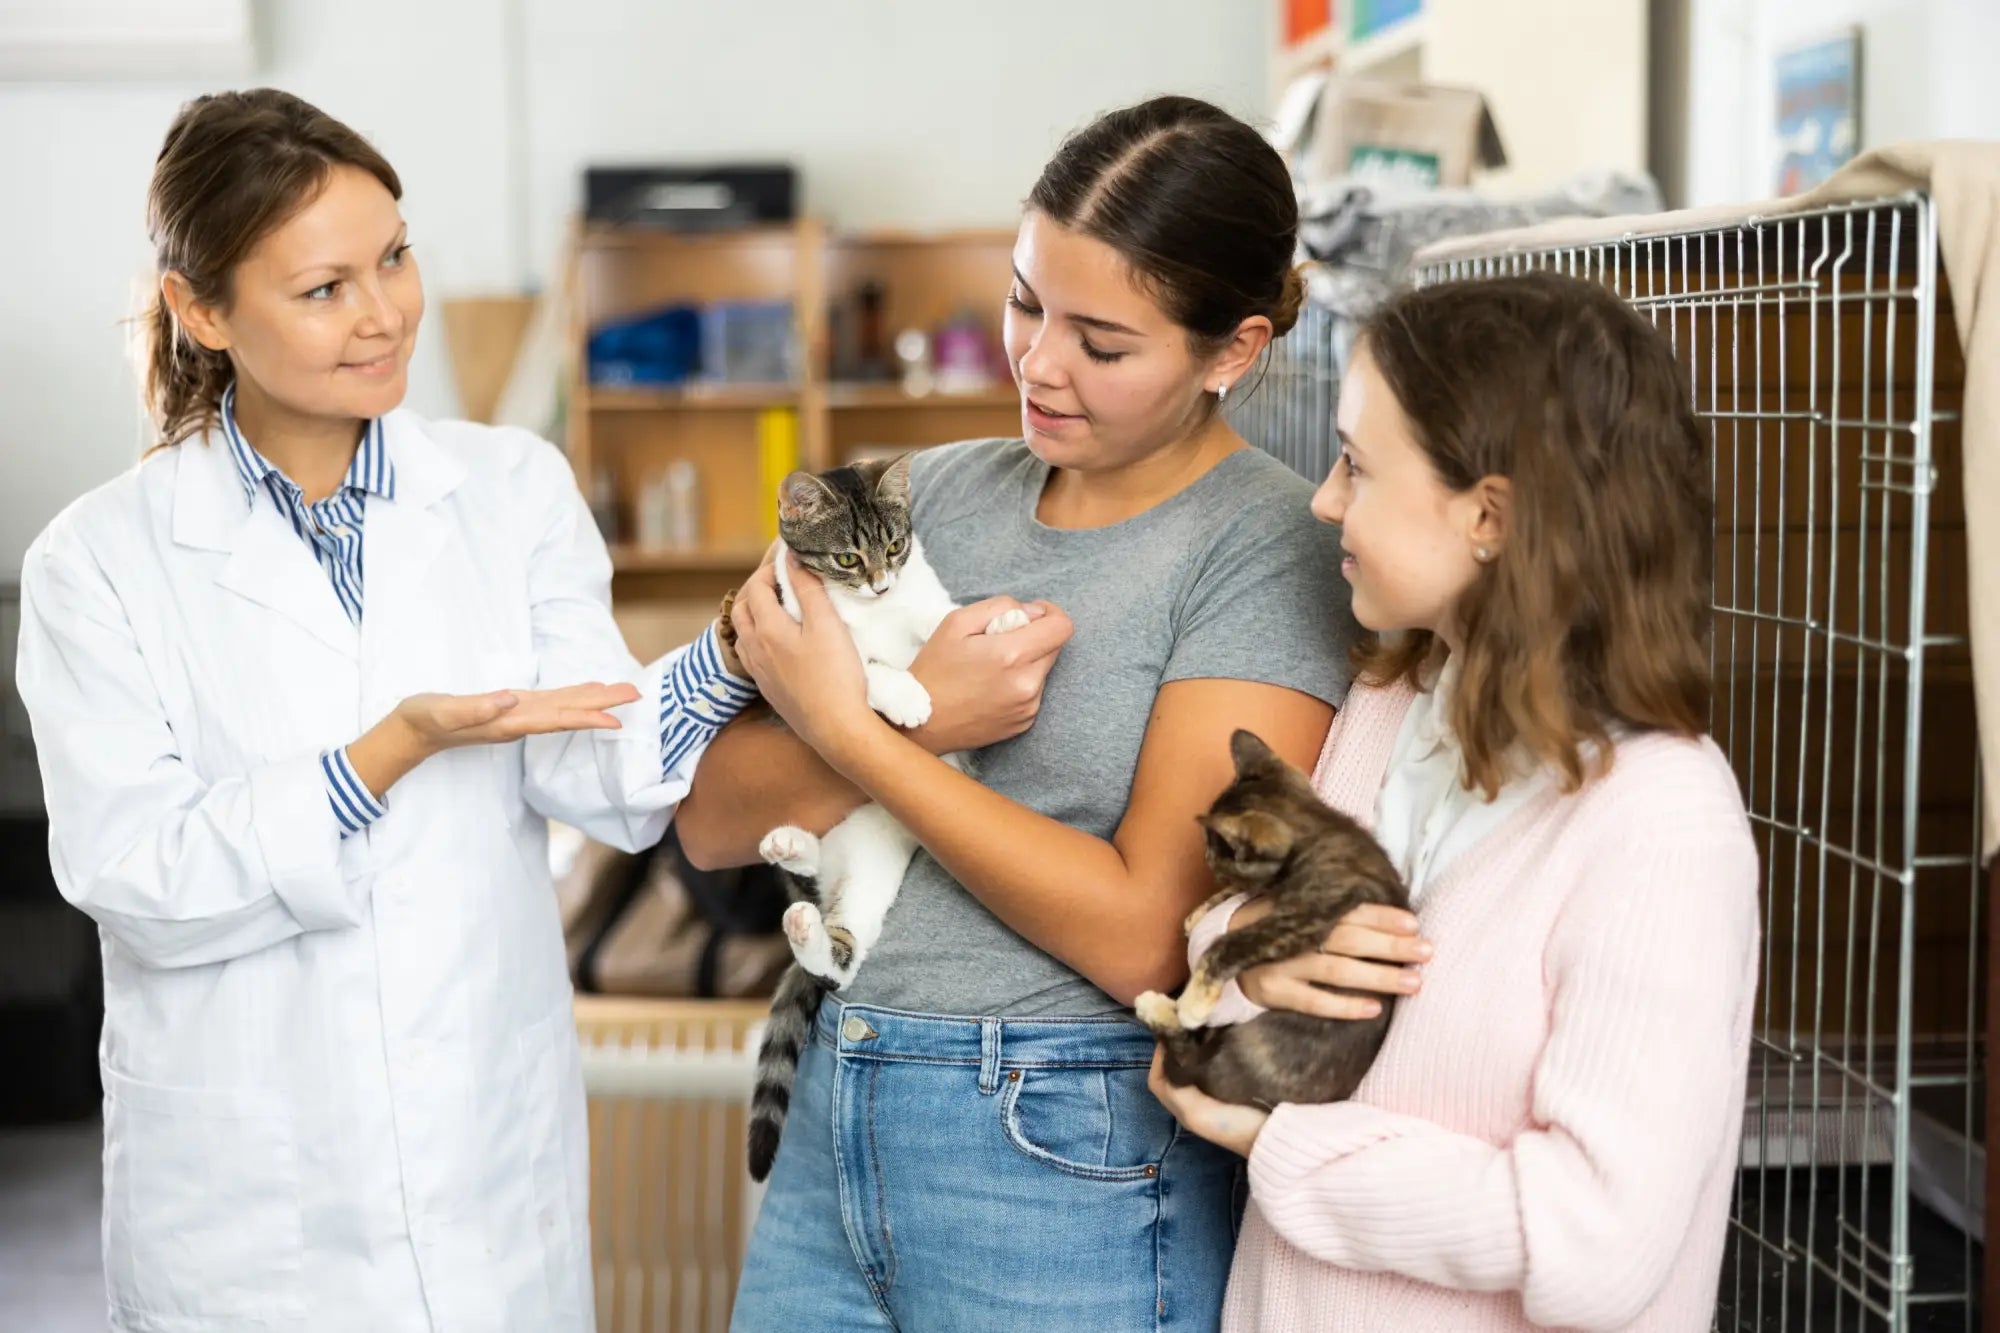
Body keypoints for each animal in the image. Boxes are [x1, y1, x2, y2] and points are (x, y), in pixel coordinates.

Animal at [740, 454, 1032, 1176]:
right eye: (847, 557)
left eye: (895, 546)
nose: (878, 584)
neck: (871, 610)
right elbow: (863, 666)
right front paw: (903, 693)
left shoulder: (921, 599)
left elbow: (945, 620)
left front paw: (1002, 625)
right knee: (834, 955)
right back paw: (794, 876)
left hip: (871, 872)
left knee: (842, 941)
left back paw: (796, 866)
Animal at [1144, 732, 1408, 1104]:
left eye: (1214, 853)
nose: (1208, 859)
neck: (1321, 828)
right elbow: (1247, 891)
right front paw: (1202, 911)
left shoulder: (1305, 916)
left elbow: (1228, 943)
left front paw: (1195, 1000)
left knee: (1187, 1063)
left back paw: (1162, 1008)